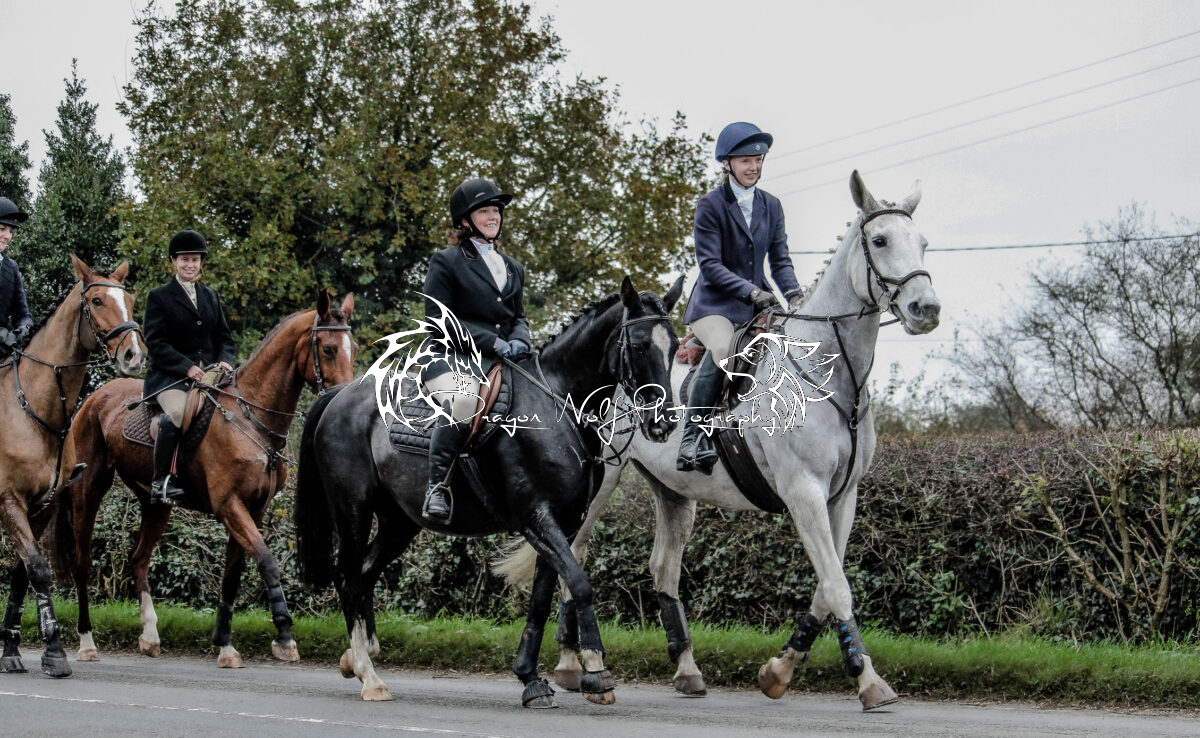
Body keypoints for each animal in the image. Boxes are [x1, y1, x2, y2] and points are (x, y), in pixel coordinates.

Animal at [0, 255, 144, 678]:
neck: (33, 410)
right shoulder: (8, 500)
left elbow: (23, 572)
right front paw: (54, 649)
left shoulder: (42, 506)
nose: (134, 355)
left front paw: (12, 648)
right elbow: (38, 568)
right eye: (96, 301)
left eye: (130, 299)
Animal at [53, 290, 356, 668]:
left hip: (156, 505)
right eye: (328, 349)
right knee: (82, 564)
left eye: (354, 348)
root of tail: (91, 398)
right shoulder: (230, 506)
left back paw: (150, 636)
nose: (343, 400)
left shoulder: (252, 510)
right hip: (88, 493)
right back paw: (86, 642)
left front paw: (225, 644)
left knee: (139, 558)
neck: (249, 416)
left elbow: (232, 576)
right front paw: (285, 635)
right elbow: (267, 561)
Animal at [293, 276, 681, 705]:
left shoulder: (563, 523)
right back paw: (368, 674)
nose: (663, 423)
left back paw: (358, 656)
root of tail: (341, 395)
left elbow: (542, 597)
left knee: (363, 574)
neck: (555, 404)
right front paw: (596, 671)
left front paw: (530, 677)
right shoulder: (535, 516)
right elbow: (580, 584)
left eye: (675, 346)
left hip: (399, 521)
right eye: (639, 345)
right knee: (347, 575)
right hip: (353, 511)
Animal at [495, 171, 941, 711]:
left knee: (662, 568)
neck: (827, 373)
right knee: (572, 555)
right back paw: (572, 665)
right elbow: (836, 586)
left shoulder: (842, 496)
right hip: (598, 485)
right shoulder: (804, 492)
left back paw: (686, 669)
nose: (926, 309)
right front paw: (868, 680)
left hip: (673, 492)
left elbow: (826, 584)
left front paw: (779, 670)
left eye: (923, 242)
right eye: (879, 241)